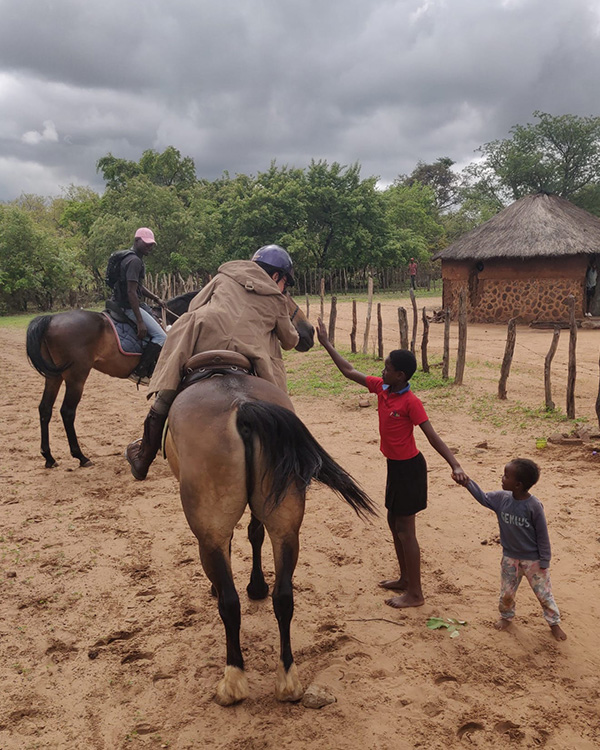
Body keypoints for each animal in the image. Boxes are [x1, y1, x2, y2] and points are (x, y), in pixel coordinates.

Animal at [26, 296, 197, 468]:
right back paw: (81, 456)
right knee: (67, 412)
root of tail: (51, 319)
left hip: (54, 377)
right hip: (76, 378)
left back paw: (49, 457)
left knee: (45, 409)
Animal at [164, 300, 376, 704]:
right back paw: (288, 678)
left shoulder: (213, 528)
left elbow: (234, 551)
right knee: (285, 596)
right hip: (287, 524)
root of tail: (242, 405)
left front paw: (232, 586)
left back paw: (233, 680)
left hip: (210, 528)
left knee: (229, 603)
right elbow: (254, 534)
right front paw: (258, 585)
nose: (308, 332)